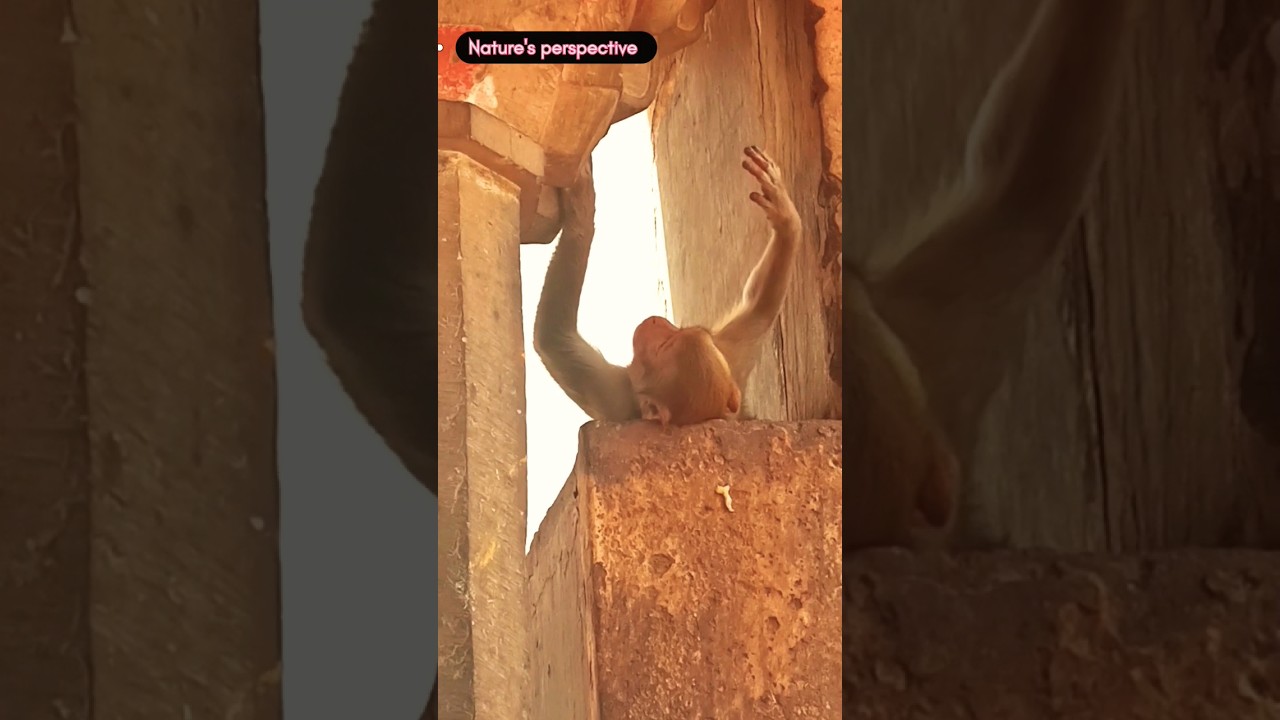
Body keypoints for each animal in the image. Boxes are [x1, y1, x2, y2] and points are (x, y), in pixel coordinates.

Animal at [532, 145, 802, 426]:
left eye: (662, 347)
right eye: (679, 333)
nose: (654, 321)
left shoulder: (619, 392)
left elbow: (554, 339)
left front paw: (582, 211)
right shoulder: (727, 356)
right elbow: (760, 308)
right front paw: (785, 217)